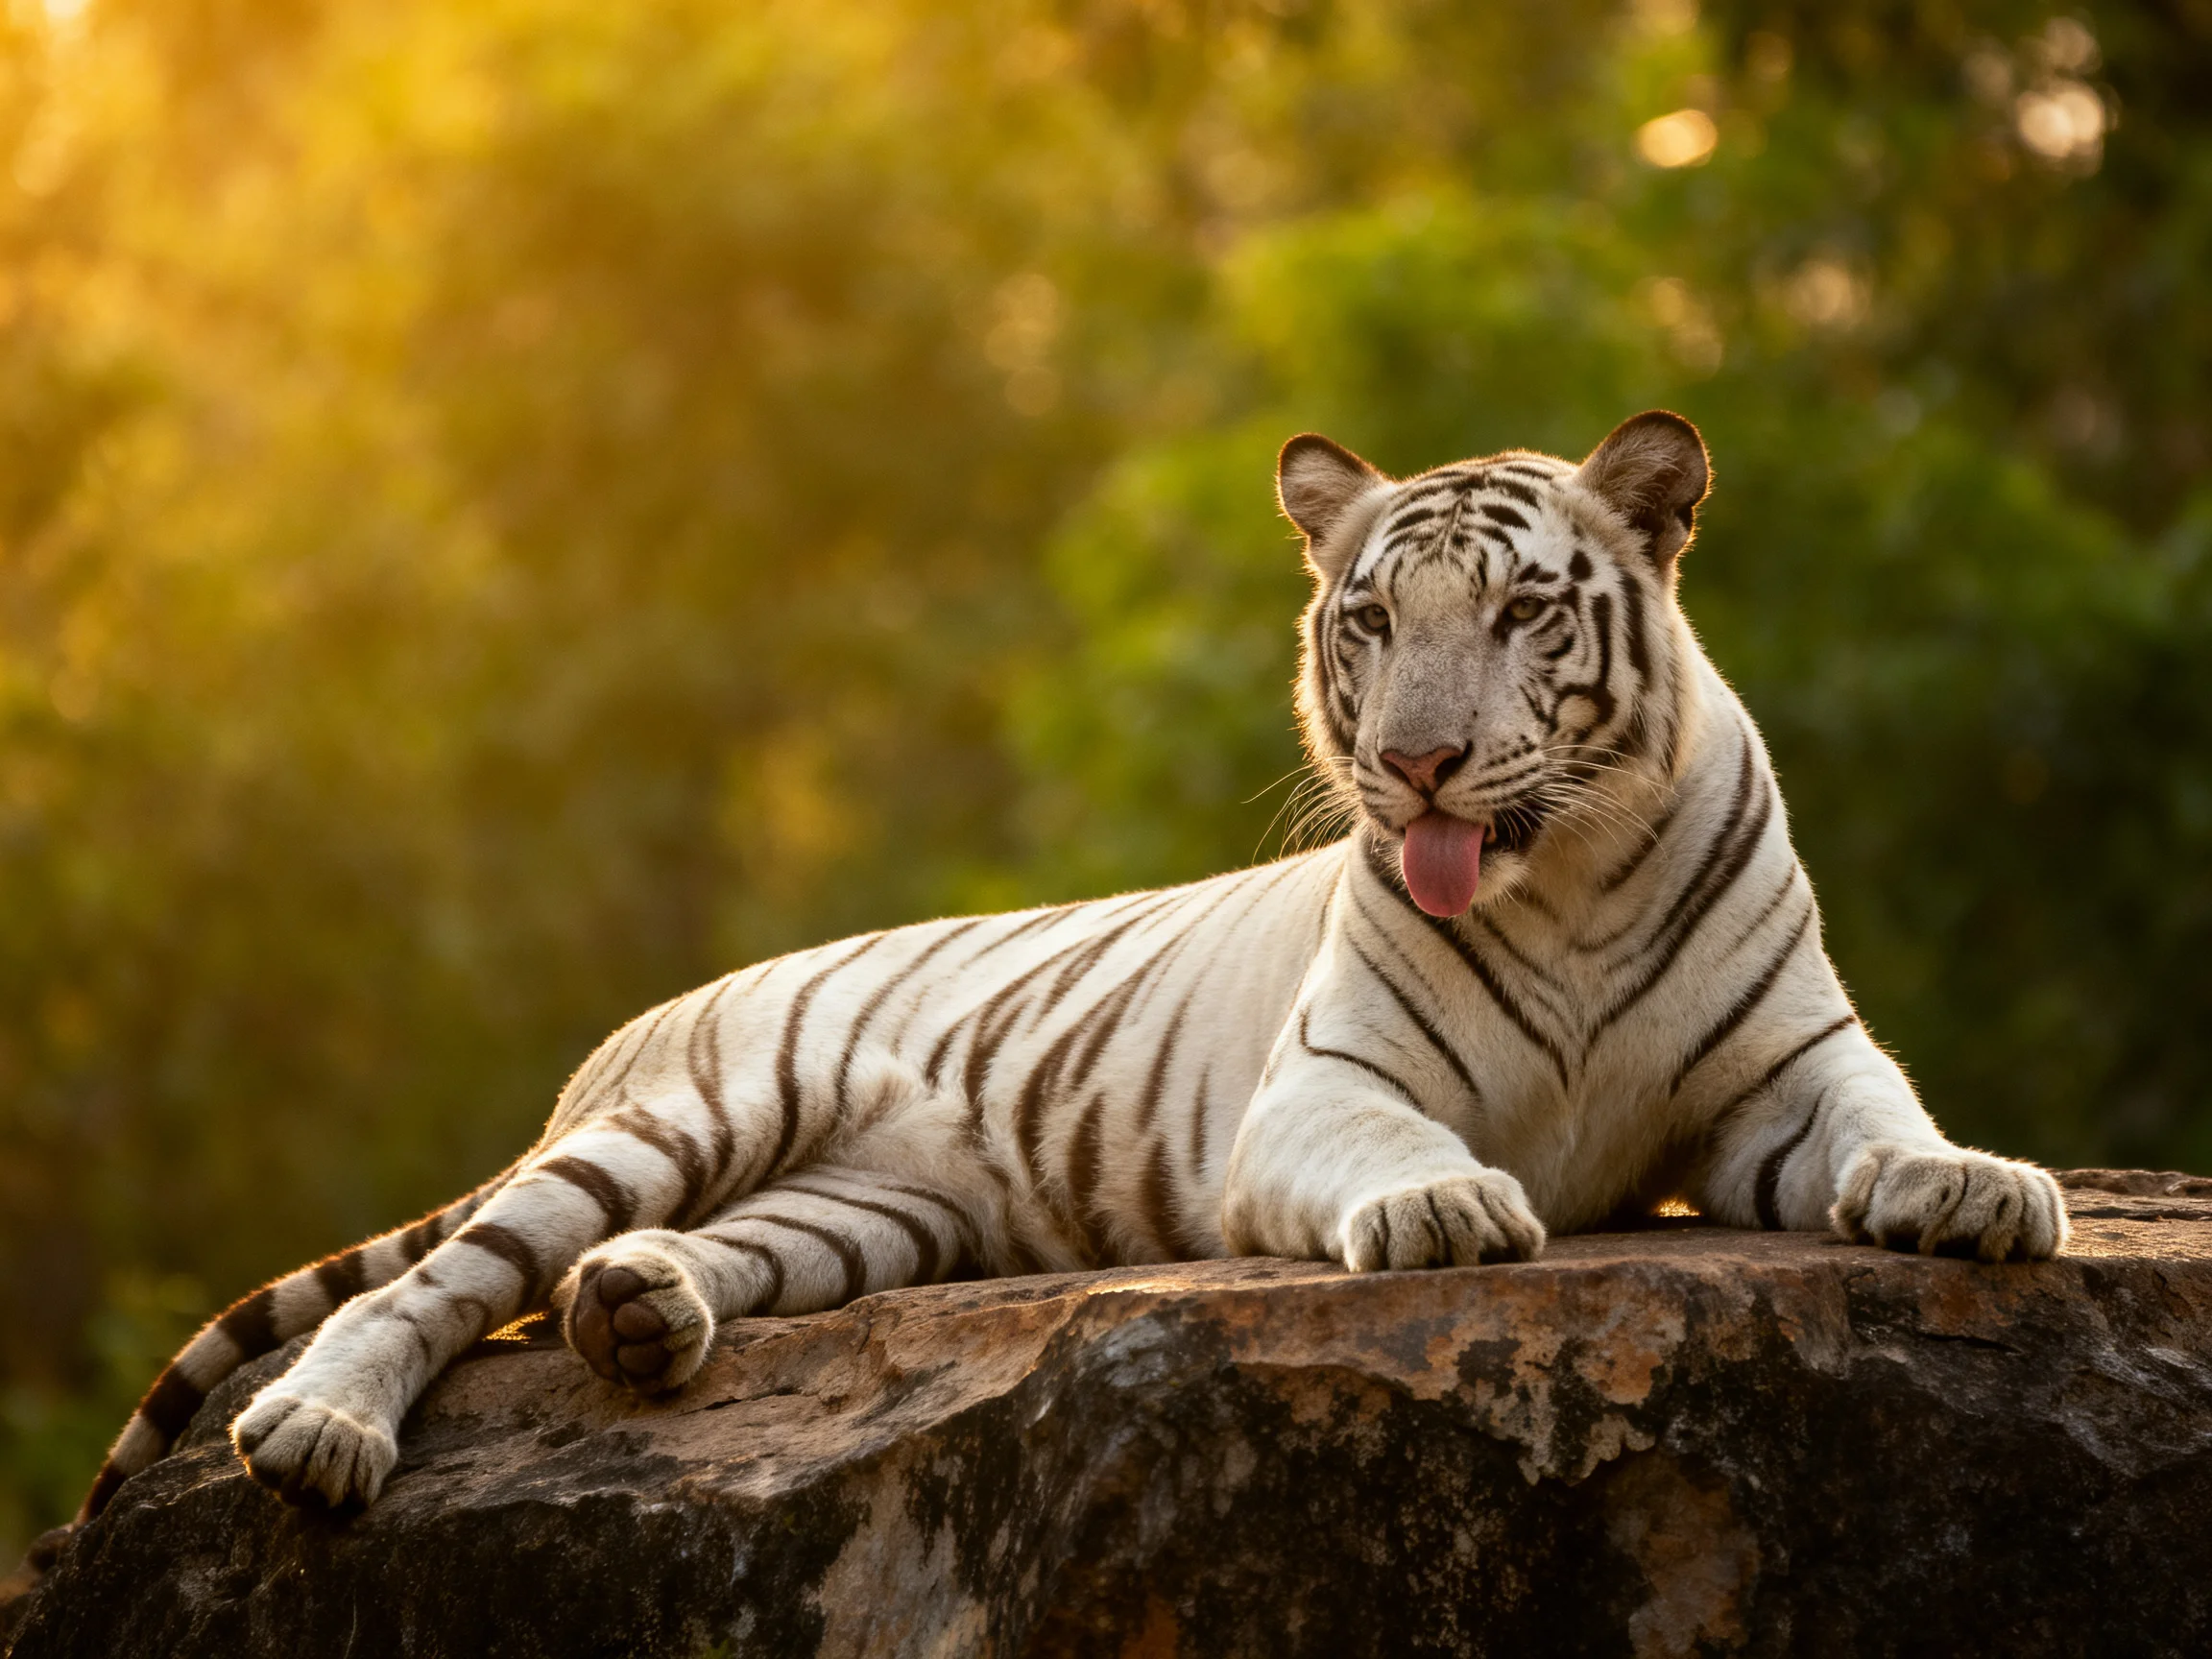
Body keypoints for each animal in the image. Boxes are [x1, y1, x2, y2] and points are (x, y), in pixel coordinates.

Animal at [74, 408, 2066, 1521]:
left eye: (1518, 611)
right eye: (1368, 619)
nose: (1415, 759)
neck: (1558, 874)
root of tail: (638, 1025)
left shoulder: (1785, 1066)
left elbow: (1884, 1121)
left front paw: (1973, 1187)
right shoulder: (1323, 1092)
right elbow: (1408, 1150)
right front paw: (1444, 1211)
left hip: (871, 1214)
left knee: (659, 1267)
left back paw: (637, 1316)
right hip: (689, 1117)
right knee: (428, 1284)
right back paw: (319, 1428)